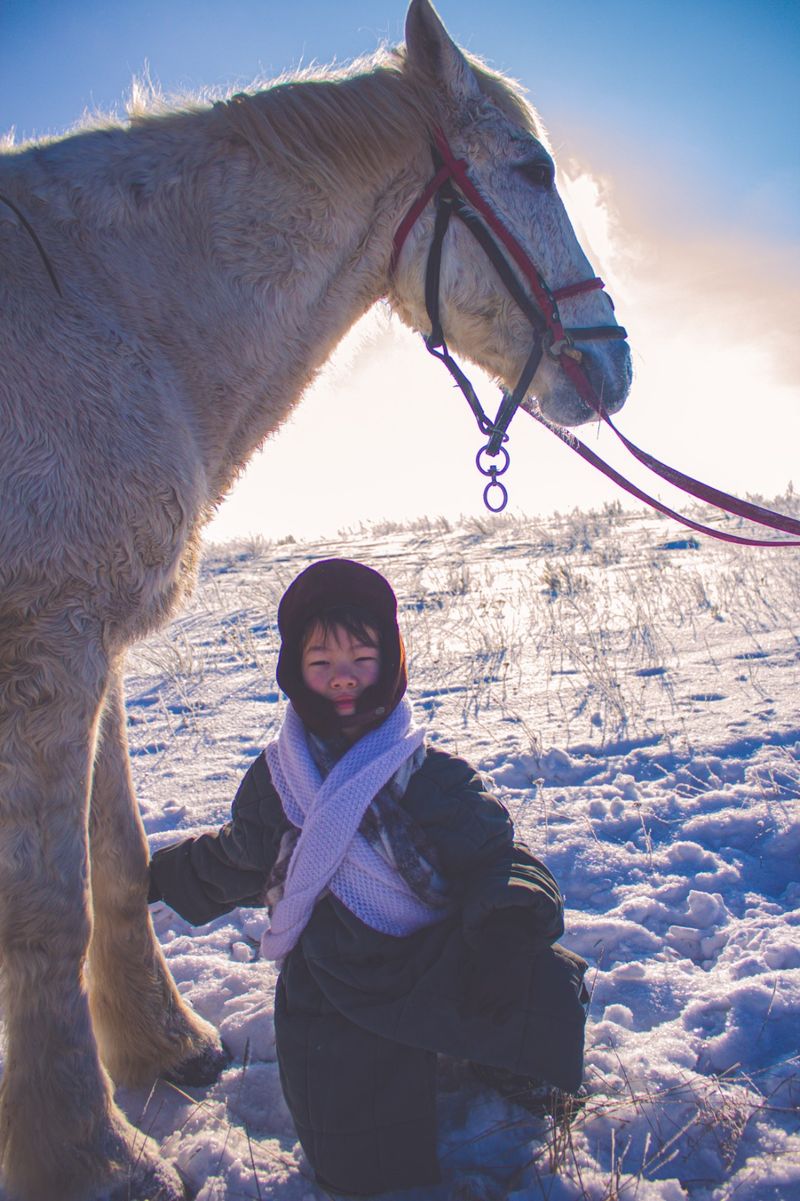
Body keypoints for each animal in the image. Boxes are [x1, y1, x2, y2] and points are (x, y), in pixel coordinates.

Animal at [0, 2, 631, 1197]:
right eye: (532, 168)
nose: (611, 362)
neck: (103, 303)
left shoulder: (93, 652)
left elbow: (116, 856)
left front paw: (165, 1046)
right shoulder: (52, 652)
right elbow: (48, 913)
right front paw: (95, 1156)